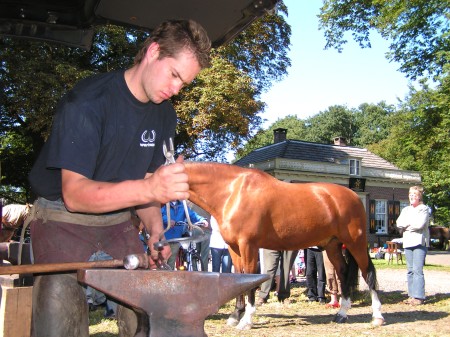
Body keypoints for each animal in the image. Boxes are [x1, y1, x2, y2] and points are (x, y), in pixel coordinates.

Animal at [183, 160, 384, 328]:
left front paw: (246, 320)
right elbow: (238, 276)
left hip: (355, 243)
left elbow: (249, 277)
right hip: (332, 246)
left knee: (368, 273)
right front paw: (235, 315)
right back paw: (342, 313)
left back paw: (377, 317)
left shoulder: (248, 245)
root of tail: (354, 196)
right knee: (342, 272)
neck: (233, 192)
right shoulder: (234, 248)